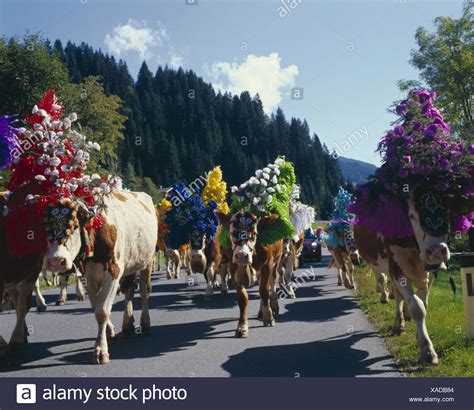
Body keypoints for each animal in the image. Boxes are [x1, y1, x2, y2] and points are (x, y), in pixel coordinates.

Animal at [42, 191, 157, 364]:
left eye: (75, 226)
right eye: (48, 228)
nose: (56, 261)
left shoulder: (114, 271)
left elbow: (102, 311)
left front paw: (100, 350)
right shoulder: (88, 277)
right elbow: (95, 307)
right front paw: (110, 333)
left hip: (147, 261)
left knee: (144, 292)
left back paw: (145, 324)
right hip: (130, 264)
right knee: (129, 290)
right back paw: (127, 324)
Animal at [215, 210, 282, 338]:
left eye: (254, 233)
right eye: (232, 232)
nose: (242, 255)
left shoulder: (267, 264)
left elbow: (264, 291)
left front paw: (269, 317)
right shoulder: (233, 267)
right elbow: (243, 298)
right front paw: (242, 326)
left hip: (277, 259)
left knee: (271, 282)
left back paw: (273, 306)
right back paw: (262, 311)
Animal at [352, 190, 460, 366]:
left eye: (448, 211)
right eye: (411, 215)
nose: (437, 251)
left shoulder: (430, 273)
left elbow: (423, 303)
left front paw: (419, 336)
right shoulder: (395, 269)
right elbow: (418, 307)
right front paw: (427, 351)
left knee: (400, 295)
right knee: (397, 296)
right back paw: (398, 324)